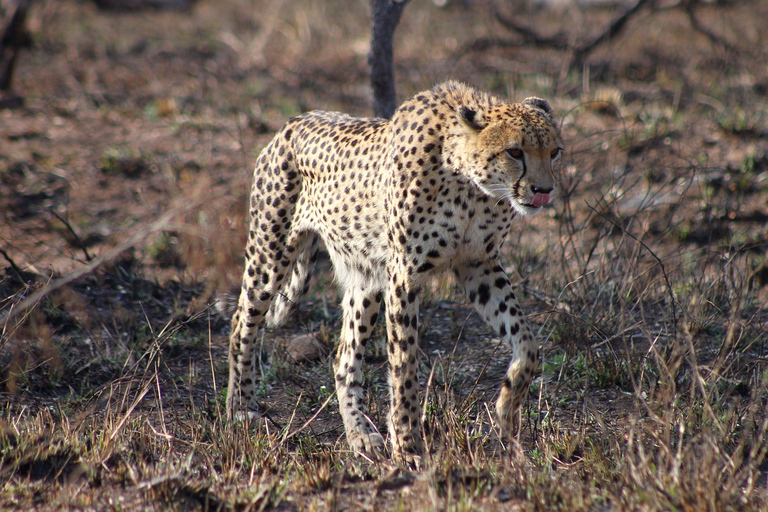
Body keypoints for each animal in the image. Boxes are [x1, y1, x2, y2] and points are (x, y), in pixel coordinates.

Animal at [228, 81, 564, 464]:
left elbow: (527, 342)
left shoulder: (478, 265)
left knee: (344, 359)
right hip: (270, 254)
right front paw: (407, 447)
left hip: (366, 279)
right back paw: (241, 407)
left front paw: (507, 412)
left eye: (554, 152)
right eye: (515, 152)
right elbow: (404, 364)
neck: (470, 183)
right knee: (242, 321)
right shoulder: (405, 273)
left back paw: (361, 434)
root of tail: (295, 120)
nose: (544, 190)